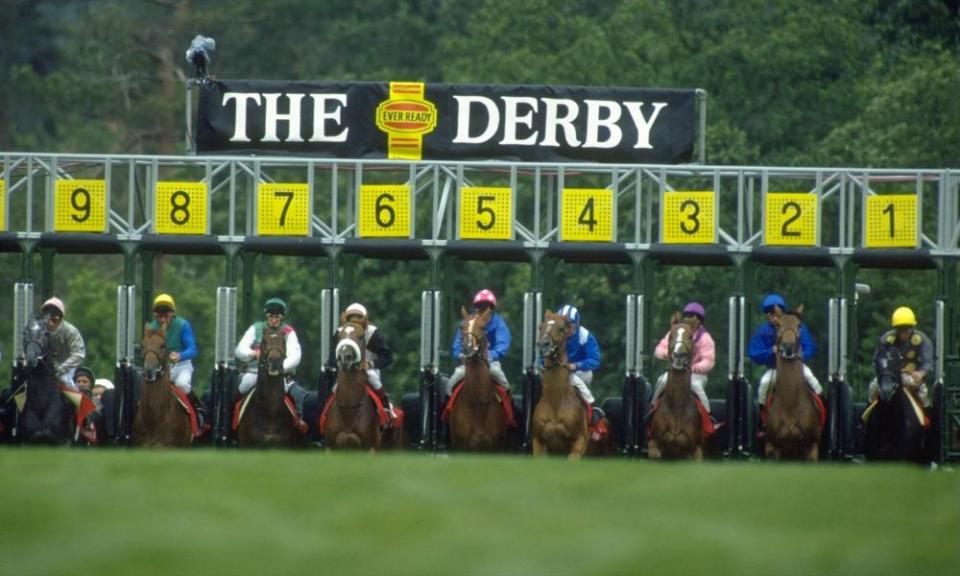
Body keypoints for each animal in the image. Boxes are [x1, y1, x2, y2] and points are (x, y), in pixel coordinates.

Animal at [322, 318, 382, 452]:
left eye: (361, 336)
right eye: (338, 336)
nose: (345, 357)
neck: (349, 410)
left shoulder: (371, 448)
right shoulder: (330, 447)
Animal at [528, 310, 588, 460]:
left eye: (561, 328)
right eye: (540, 327)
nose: (543, 345)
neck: (555, 403)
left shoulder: (581, 441)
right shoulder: (538, 441)